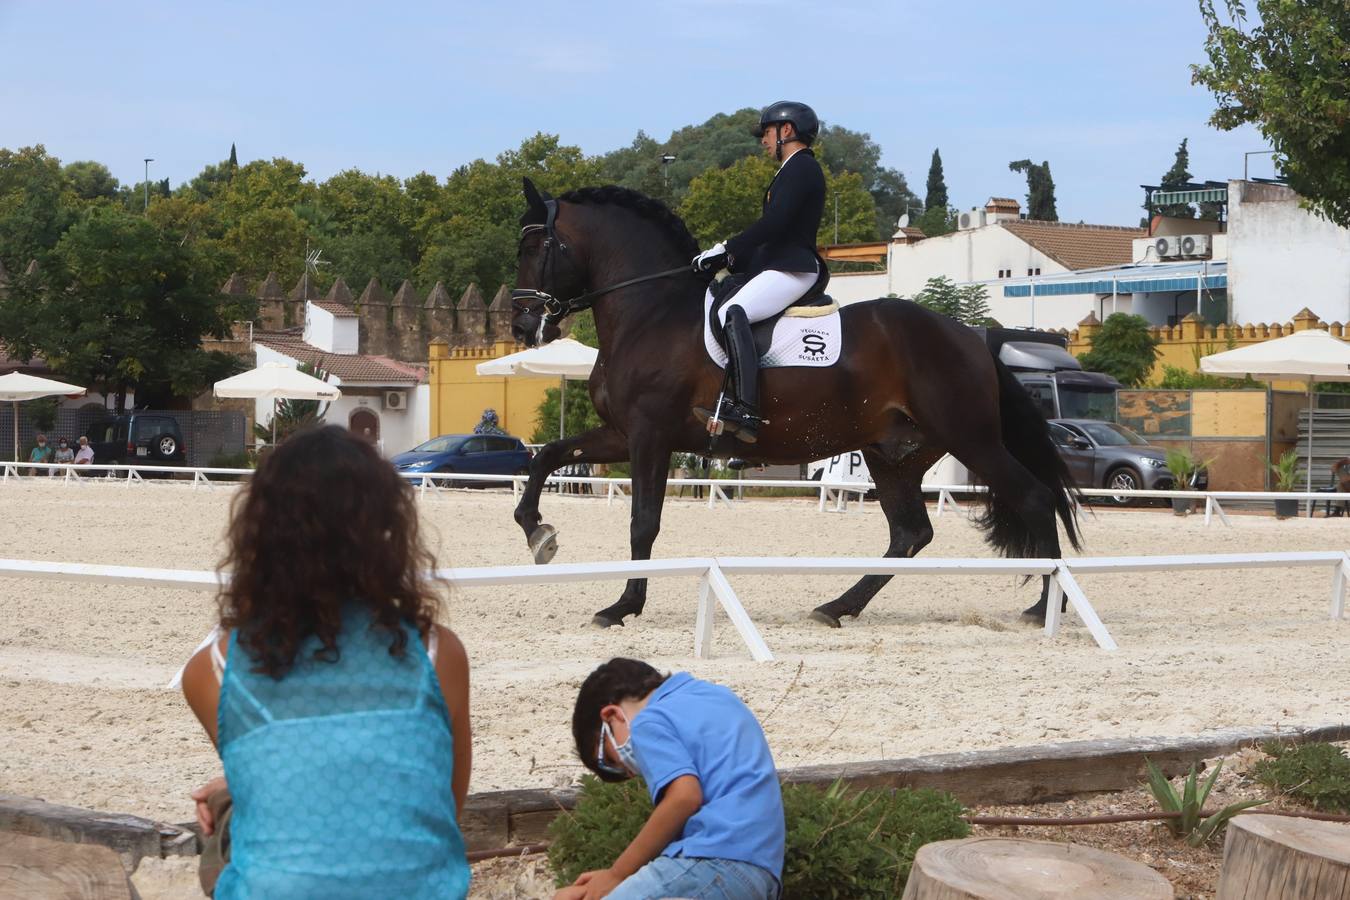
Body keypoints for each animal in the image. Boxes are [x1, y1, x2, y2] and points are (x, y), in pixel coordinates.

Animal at [510, 175, 1080, 626]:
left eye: (535, 248)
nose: (521, 326)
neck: (650, 313)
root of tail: (969, 336)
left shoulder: (650, 435)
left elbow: (642, 523)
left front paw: (622, 607)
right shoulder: (622, 433)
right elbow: (546, 457)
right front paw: (538, 533)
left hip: (970, 438)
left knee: (1033, 498)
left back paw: (1044, 607)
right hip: (893, 453)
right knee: (910, 533)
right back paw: (838, 607)